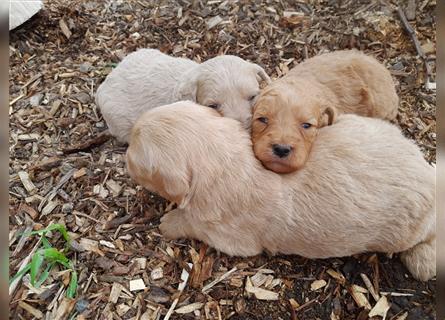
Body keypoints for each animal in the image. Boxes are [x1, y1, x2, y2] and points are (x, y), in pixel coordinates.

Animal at [126, 101, 436, 282]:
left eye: (135, 154)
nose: (124, 155)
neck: (224, 159)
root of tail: (426, 171)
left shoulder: (230, 237)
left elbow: (192, 222)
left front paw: (169, 222)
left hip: (404, 232)